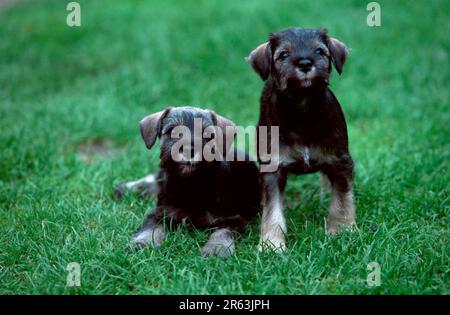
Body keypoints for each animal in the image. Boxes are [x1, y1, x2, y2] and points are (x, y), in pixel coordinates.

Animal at [115, 107, 260, 258]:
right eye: (172, 130)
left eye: (208, 134)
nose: (188, 150)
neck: (190, 185)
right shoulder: (160, 213)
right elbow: (151, 228)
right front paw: (141, 243)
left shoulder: (232, 219)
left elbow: (221, 232)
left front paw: (216, 249)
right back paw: (126, 188)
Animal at [246, 27, 356, 254]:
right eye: (284, 55)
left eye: (320, 51)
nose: (305, 63)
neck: (303, 112)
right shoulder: (273, 168)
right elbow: (273, 209)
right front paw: (271, 244)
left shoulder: (340, 161)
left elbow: (342, 198)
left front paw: (342, 230)